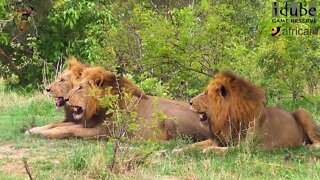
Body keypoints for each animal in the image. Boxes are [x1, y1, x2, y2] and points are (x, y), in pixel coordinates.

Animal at [175, 72, 320, 154]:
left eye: (205, 94)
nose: (189, 102)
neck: (227, 119)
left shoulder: (248, 146)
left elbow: (223, 150)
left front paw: (209, 151)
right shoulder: (221, 140)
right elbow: (194, 144)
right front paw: (178, 149)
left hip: (302, 111)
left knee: (317, 142)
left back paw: (307, 147)